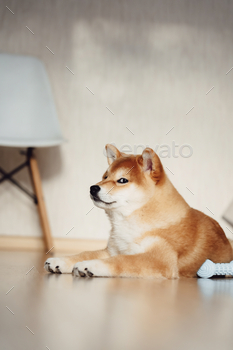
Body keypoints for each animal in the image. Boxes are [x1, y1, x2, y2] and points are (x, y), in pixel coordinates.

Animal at [44, 144, 233, 278]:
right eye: (105, 177)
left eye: (122, 180)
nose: (93, 188)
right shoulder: (111, 250)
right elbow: (84, 253)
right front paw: (60, 261)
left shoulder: (159, 260)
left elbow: (122, 261)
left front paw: (90, 265)